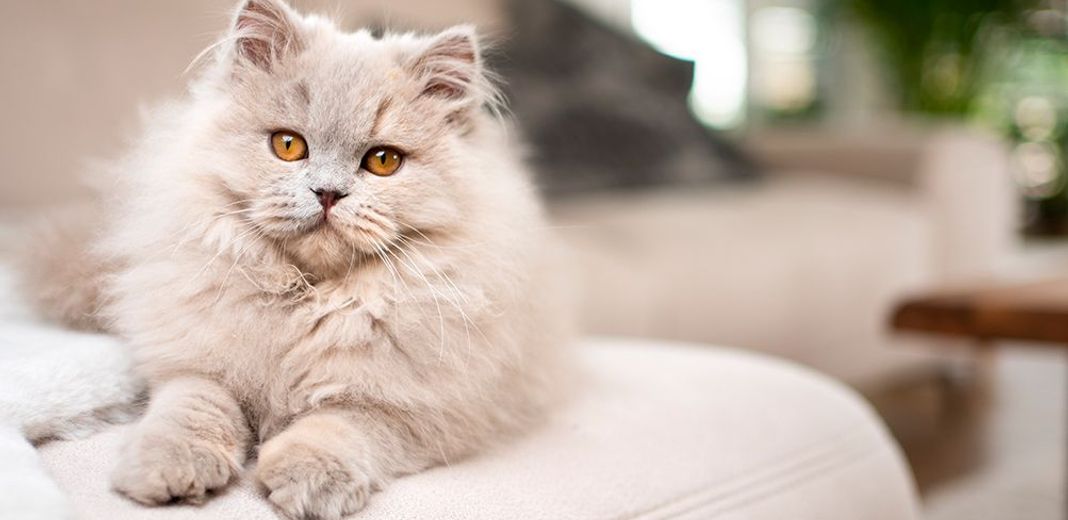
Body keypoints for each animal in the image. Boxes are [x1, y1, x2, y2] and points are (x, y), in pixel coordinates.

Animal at [18, 1, 568, 520]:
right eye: (288, 146)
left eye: (383, 161)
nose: (328, 193)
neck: (305, 299)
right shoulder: (196, 365)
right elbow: (192, 408)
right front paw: (169, 469)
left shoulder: (414, 407)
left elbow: (341, 425)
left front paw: (308, 481)